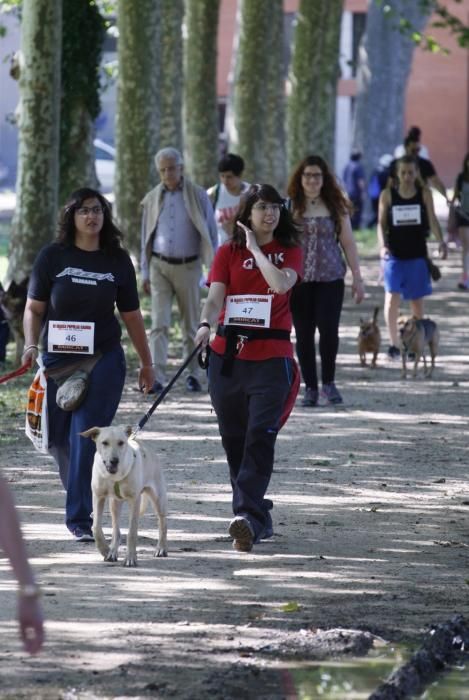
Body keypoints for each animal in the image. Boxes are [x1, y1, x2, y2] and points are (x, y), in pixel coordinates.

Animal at [81, 424, 168, 568]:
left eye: (121, 443)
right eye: (104, 443)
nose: (114, 461)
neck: (114, 477)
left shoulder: (134, 500)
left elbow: (132, 532)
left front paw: (130, 558)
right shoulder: (98, 496)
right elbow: (96, 527)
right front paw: (105, 550)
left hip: (158, 498)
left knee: (162, 523)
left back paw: (161, 548)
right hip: (115, 504)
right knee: (116, 530)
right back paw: (112, 551)